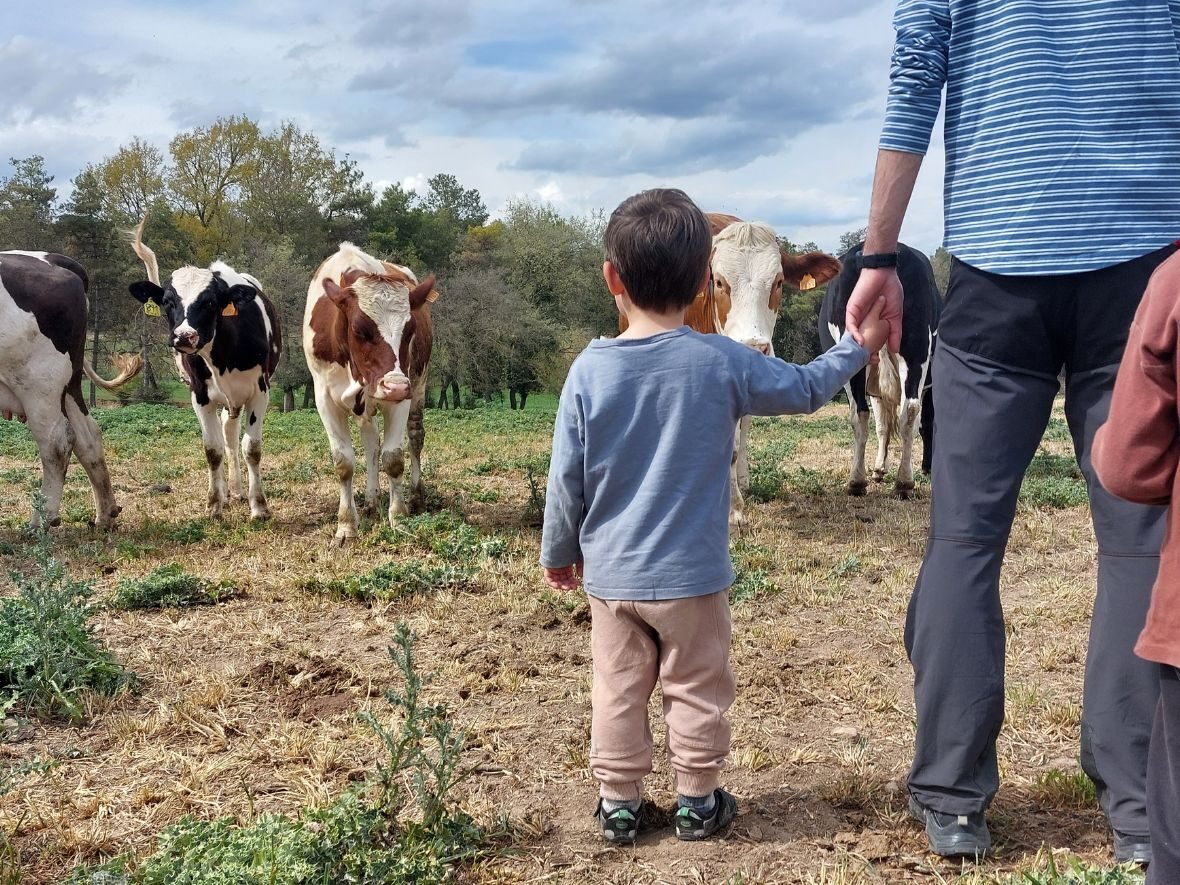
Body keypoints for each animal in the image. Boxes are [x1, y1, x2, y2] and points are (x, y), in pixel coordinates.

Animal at [0, 250, 141, 531]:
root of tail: (53, 259)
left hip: (40, 385)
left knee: (58, 443)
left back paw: (41, 520)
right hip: (69, 386)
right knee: (88, 438)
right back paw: (105, 514)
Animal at [126, 217, 280, 519]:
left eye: (210, 302)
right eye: (167, 302)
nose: (184, 336)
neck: (222, 356)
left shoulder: (260, 391)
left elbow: (252, 448)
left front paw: (259, 507)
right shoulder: (200, 395)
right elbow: (212, 450)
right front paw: (214, 505)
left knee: (232, 436)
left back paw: (238, 490)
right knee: (225, 437)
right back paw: (229, 492)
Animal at [304, 244, 438, 547]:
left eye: (410, 329)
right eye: (359, 329)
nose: (395, 386)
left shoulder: (401, 396)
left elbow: (394, 458)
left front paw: (398, 518)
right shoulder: (324, 400)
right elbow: (344, 463)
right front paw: (346, 526)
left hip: (418, 385)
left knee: (415, 438)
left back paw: (415, 496)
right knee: (371, 444)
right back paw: (371, 499)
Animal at [821, 243, 939, 500]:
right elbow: (886, 424)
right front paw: (880, 468)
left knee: (862, 413)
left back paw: (859, 480)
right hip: (915, 350)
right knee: (909, 410)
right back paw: (903, 482)